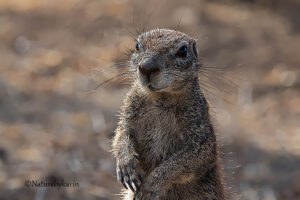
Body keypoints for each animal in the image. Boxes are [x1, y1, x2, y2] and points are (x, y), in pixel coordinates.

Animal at [112, 28, 225, 200]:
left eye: (183, 51)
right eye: (137, 45)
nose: (147, 67)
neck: (161, 97)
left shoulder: (201, 137)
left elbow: (185, 161)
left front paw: (150, 186)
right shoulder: (128, 113)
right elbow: (121, 135)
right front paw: (126, 165)